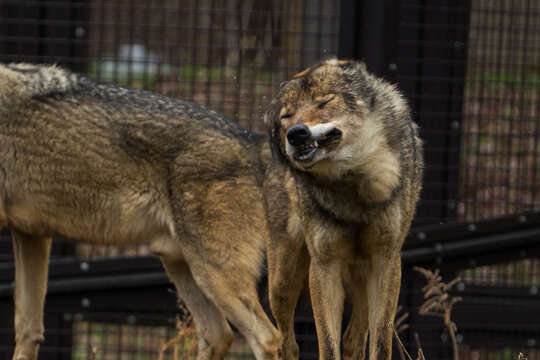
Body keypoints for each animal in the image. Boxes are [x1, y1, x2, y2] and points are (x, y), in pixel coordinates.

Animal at [0, 64, 280, 360]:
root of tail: (252, 140)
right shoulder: (31, 235)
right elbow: (27, 329)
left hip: (213, 275)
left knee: (267, 338)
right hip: (183, 267)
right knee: (219, 334)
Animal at [264, 59, 424, 360]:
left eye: (324, 102)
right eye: (287, 116)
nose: (296, 133)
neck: (353, 183)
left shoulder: (386, 261)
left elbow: (380, 342)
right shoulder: (325, 265)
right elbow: (328, 343)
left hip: (362, 279)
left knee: (354, 340)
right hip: (282, 281)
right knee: (285, 342)